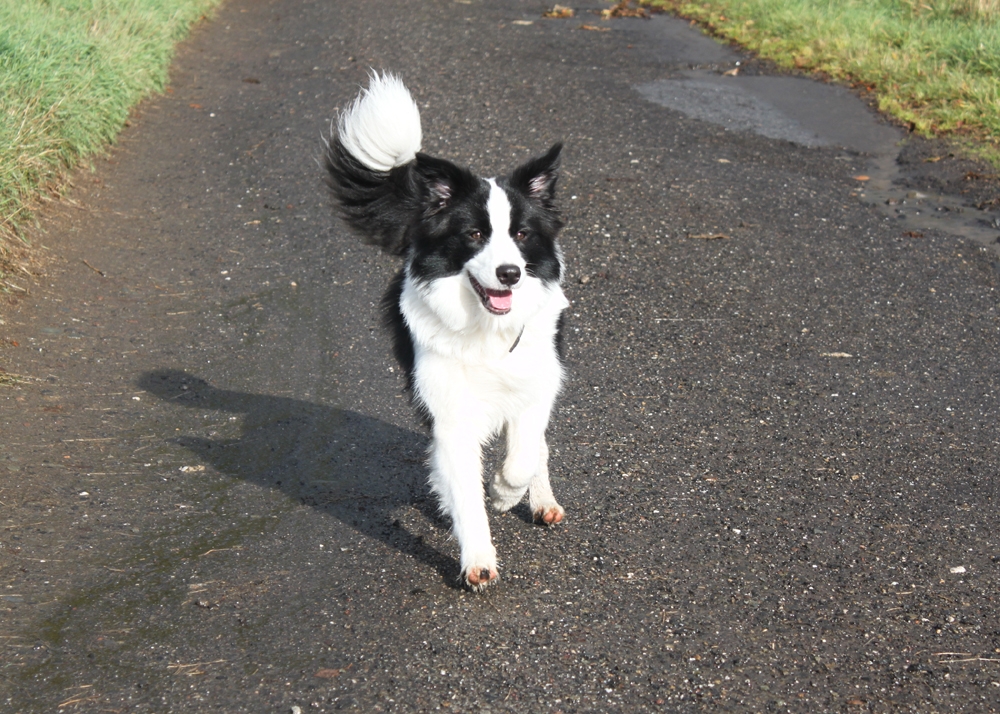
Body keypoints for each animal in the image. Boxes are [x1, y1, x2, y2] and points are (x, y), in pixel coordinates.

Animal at [324, 73, 569, 590]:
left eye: (521, 234)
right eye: (474, 234)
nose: (510, 274)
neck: (486, 329)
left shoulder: (536, 384)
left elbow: (523, 454)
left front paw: (506, 494)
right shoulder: (450, 409)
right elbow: (465, 485)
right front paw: (477, 559)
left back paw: (541, 501)